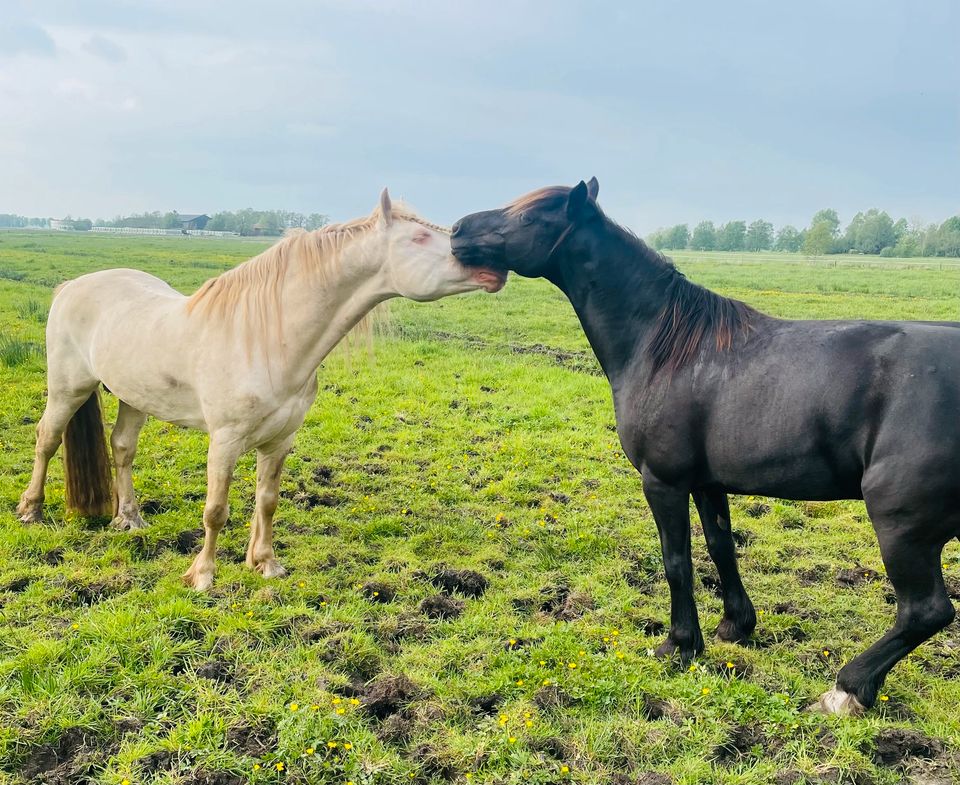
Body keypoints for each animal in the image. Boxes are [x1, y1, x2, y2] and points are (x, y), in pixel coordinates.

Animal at [16, 191, 510, 588]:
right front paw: (203, 575)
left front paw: (265, 563)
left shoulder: (279, 441)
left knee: (122, 448)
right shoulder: (225, 441)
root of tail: (72, 285)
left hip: (135, 397)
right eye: (420, 239)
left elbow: (267, 501)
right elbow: (215, 509)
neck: (267, 339)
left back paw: (130, 519)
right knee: (47, 439)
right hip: (68, 387)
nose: (495, 269)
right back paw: (31, 510)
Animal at [452, 181, 960, 712]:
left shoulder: (664, 483)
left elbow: (677, 561)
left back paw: (849, 688)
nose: (457, 230)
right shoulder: (708, 483)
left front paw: (679, 644)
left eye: (529, 218)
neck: (666, 348)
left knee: (925, 611)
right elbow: (721, 549)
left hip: (901, 526)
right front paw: (735, 625)